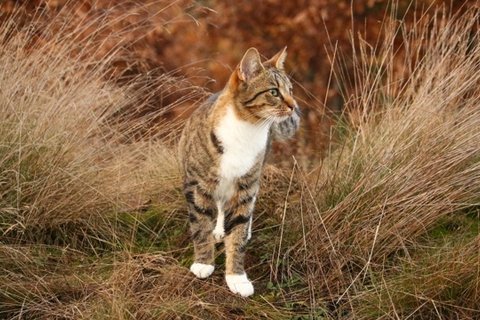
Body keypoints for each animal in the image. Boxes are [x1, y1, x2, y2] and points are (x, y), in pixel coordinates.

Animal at [178, 46, 300, 296]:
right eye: (274, 92)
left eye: (290, 90)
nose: (294, 105)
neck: (247, 129)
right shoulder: (197, 186)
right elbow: (200, 226)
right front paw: (203, 263)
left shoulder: (246, 186)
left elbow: (239, 233)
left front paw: (237, 278)